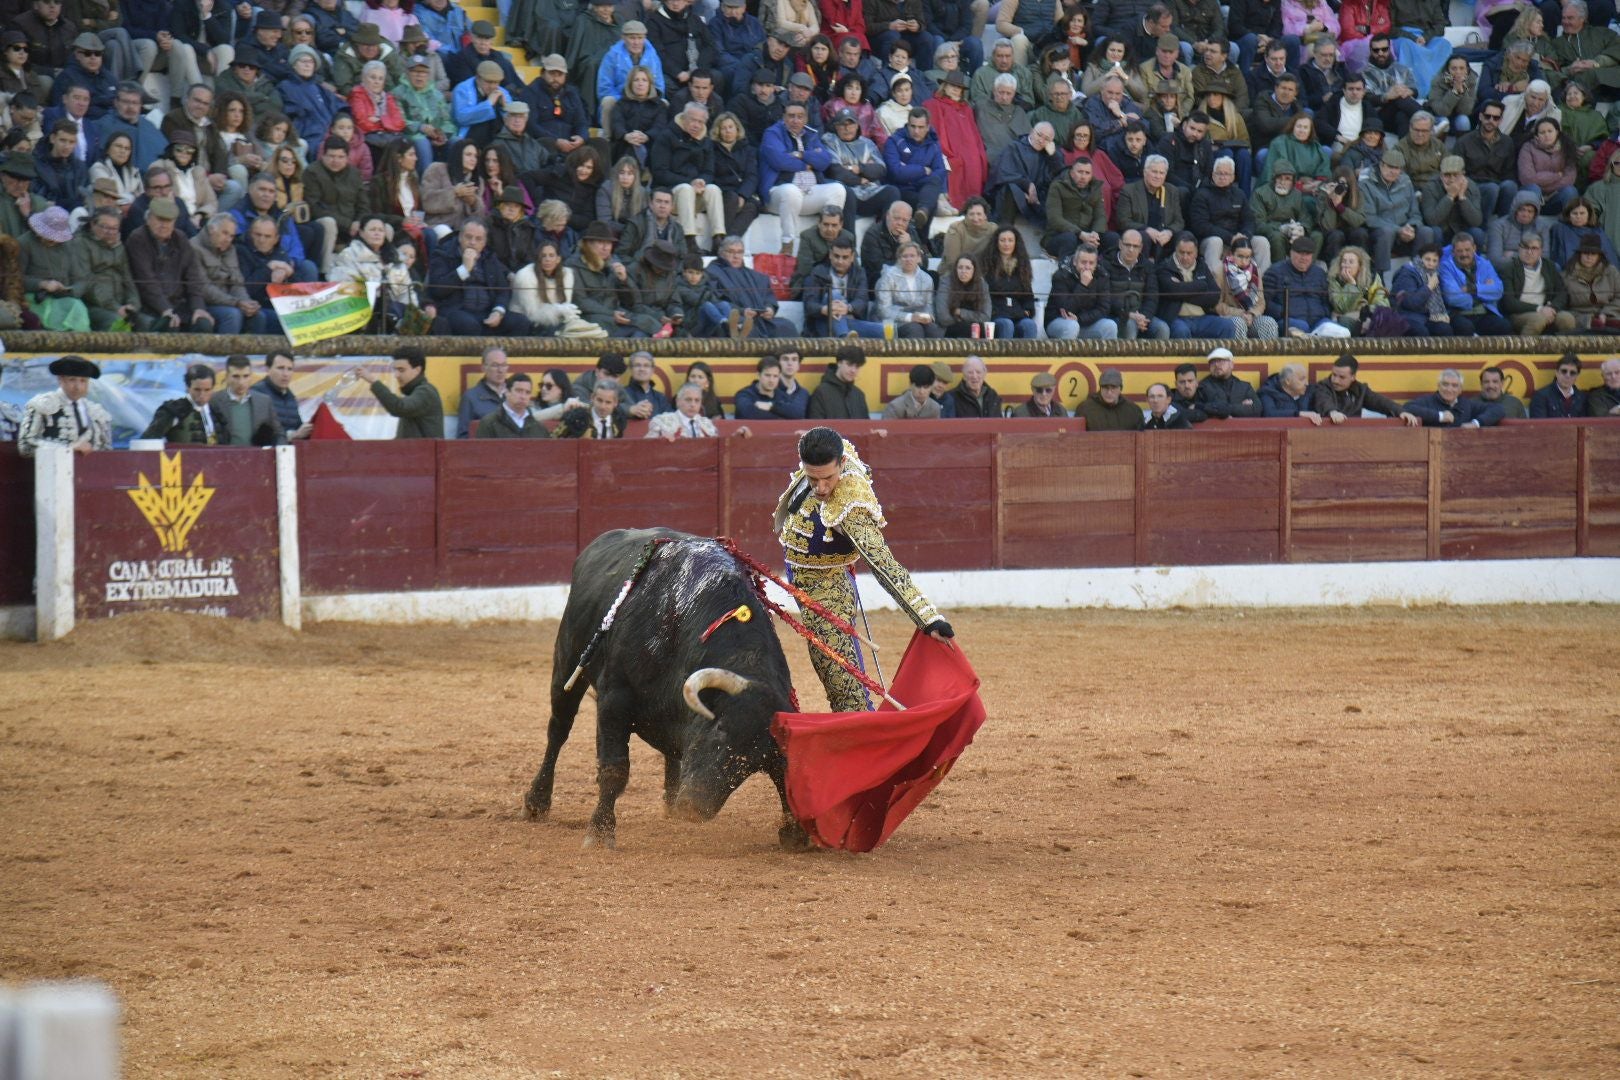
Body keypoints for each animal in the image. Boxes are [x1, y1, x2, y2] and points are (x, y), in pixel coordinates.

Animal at [524, 531, 816, 854]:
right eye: (720, 731)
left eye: (753, 764)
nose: (693, 807)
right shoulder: (614, 699)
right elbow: (614, 769)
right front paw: (600, 833)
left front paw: (794, 832)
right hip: (567, 663)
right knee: (558, 730)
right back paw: (537, 802)